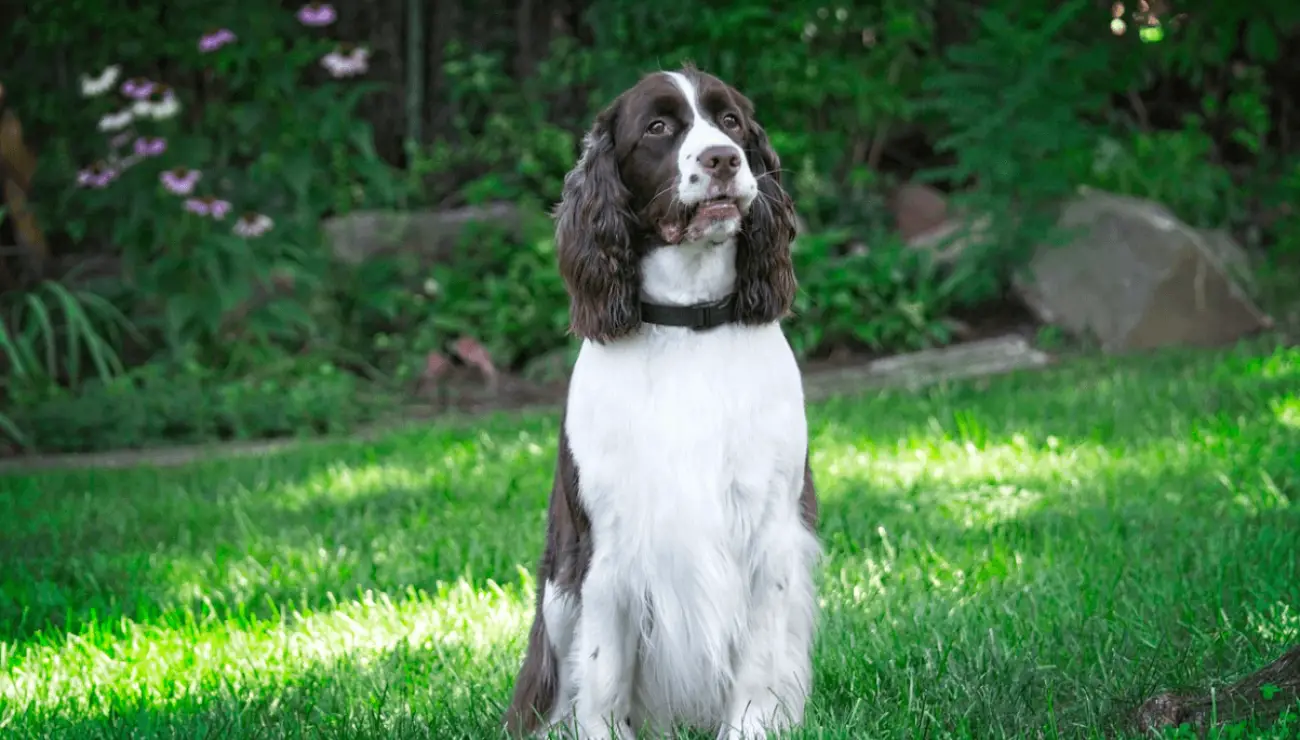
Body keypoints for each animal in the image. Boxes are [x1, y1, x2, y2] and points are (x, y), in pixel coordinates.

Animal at [501, 66, 816, 733]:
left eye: (731, 121)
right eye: (657, 127)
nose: (723, 159)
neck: (686, 325)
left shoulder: (771, 533)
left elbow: (758, 662)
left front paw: (752, 728)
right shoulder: (605, 546)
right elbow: (602, 672)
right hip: (556, 592)